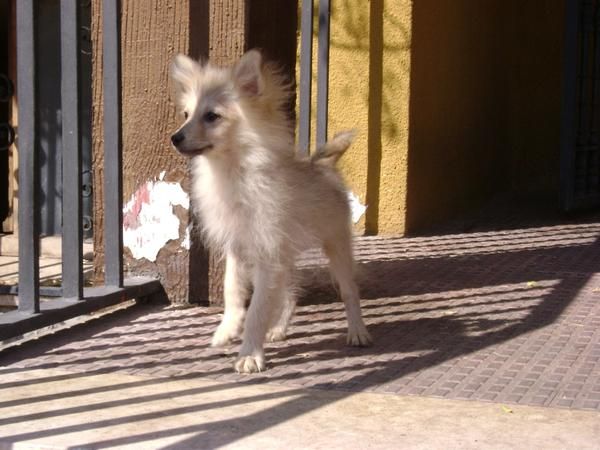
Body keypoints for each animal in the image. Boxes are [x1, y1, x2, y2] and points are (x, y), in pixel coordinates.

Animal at [170, 49, 370, 374]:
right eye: (186, 115)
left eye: (212, 116)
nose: (175, 138)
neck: (234, 174)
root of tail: (324, 168)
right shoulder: (239, 248)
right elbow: (232, 291)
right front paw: (227, 329)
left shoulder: (266, 256)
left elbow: (258, 308)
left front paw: (250, 353)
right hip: (285, 257)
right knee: (289, 294)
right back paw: (278, 329)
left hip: (336, 247)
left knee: (349, 291)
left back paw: (357, 331)